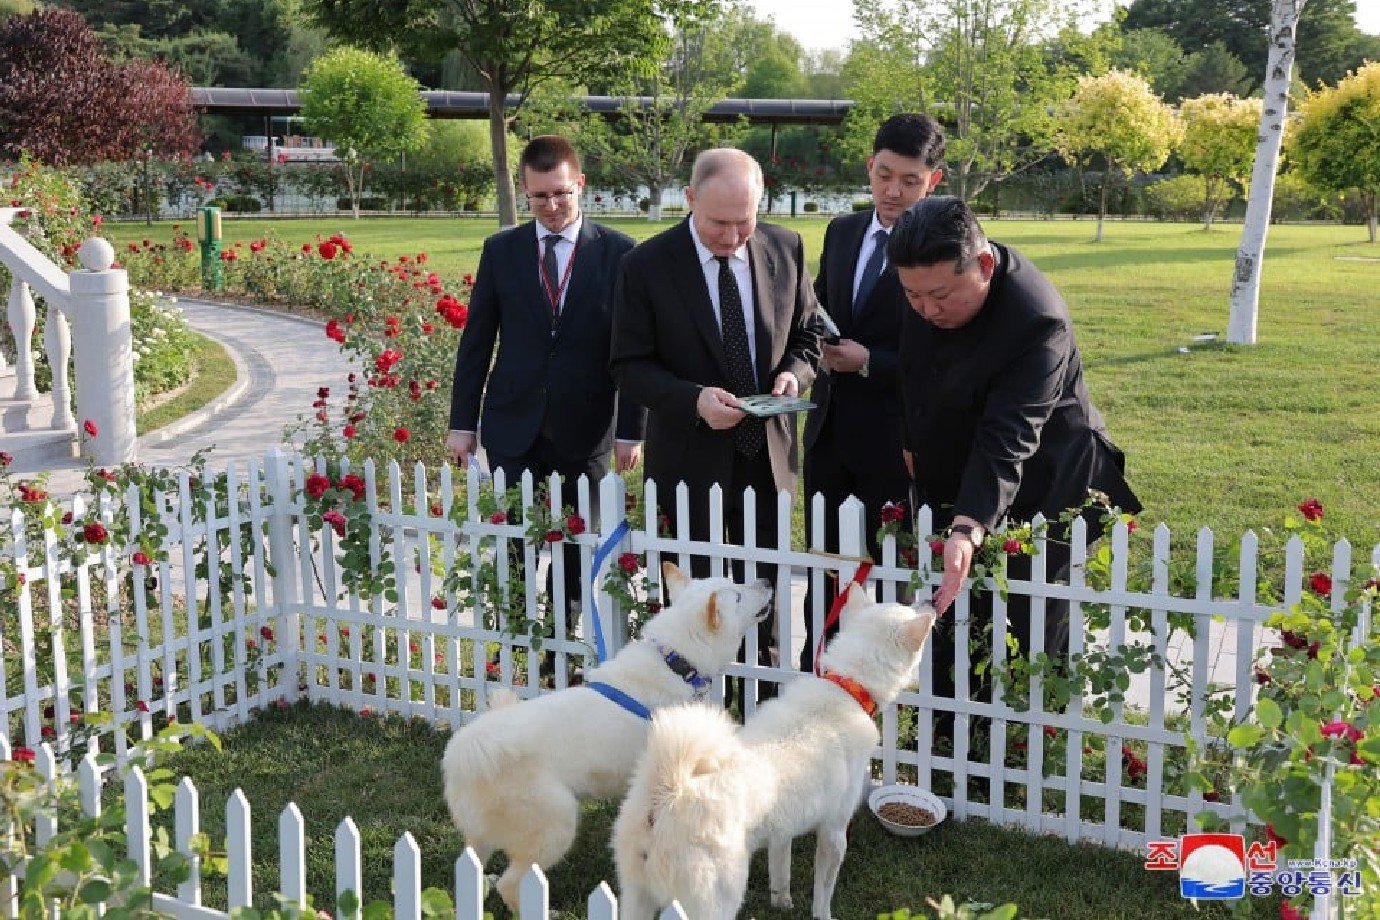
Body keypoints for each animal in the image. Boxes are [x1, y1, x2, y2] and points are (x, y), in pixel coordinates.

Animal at [441, 562, 772, 915]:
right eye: (737, 595)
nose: (767, 580)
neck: (677, 662)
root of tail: (463, 752)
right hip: (557, 824)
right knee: (512, 883)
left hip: (483, 837)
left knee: (473, 868)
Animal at [609, 590, 932, 920]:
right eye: (909, 607)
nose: (932, 601)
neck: (847, 686)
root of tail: (670, 789)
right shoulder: (834, 832)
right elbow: (823, 892)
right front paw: (822, 915)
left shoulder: (783, 831)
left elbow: (780, 870)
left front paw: (782, 902)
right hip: (715, 902)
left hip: (636, 898)